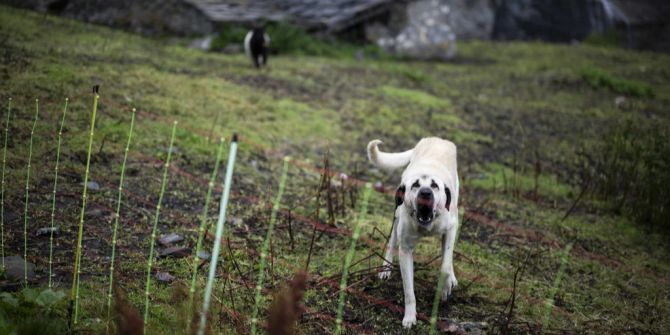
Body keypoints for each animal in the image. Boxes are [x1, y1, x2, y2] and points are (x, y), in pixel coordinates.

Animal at [370, 138, 460, 330]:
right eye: (415, 185)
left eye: (434, 185)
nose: (425, 193)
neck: (426, 223)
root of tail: (434, 139)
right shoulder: (405, 250)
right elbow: (409, 291)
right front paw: (410, 317)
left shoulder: (450, 228)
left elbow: (445, 266)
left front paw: (445, 287)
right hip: (397, 214)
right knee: (392, 241)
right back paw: (386, 267)